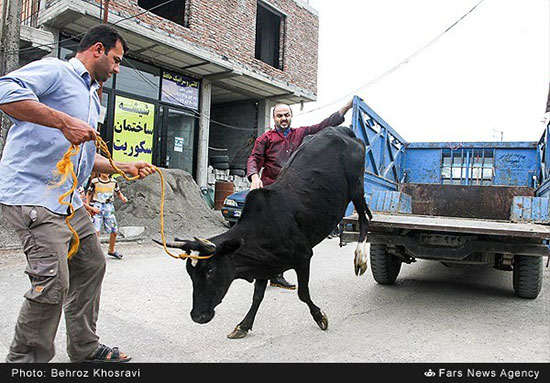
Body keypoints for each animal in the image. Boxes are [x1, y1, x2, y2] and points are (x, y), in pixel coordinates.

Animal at [157, 126, 374, 340]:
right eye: (190, 272)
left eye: (210, 270)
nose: (197, 316)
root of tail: (340, 130)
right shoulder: (265, 266)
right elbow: (257, 297)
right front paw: (243, 326)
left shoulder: (304, 256)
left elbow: (303, 293)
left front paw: (320, 316)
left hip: (356, 185)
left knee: (365, 219)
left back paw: (361, 258)